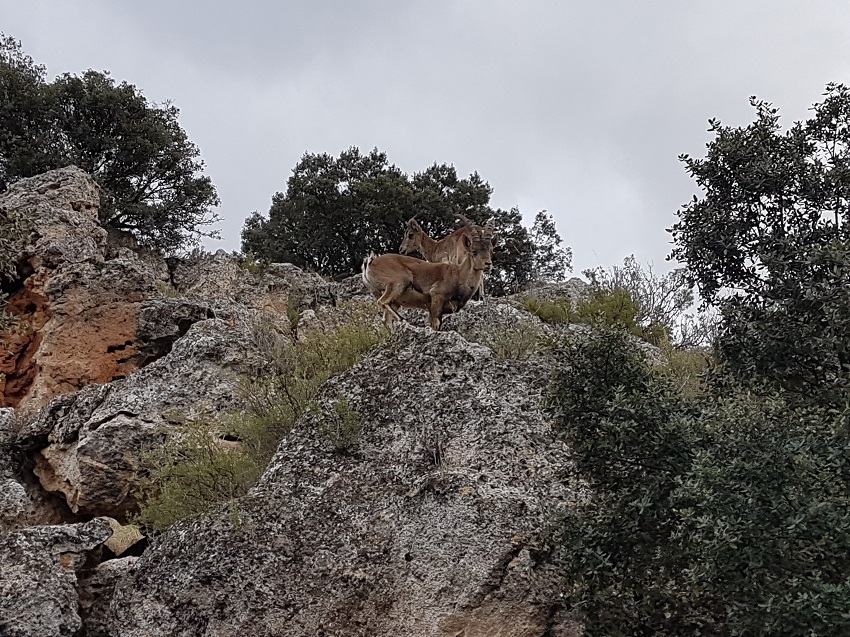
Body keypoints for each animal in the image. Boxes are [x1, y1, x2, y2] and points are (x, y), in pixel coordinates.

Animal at [362, 225, 494, 332]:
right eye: (474, 252)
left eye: (490, 250)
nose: (488, 264)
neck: (459, 274)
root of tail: (370, 263)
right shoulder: (436, 298)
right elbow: (435, 324)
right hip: (399, 283)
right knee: (382, 302)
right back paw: (404, 320)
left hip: (394, 299)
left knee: (386, 319)